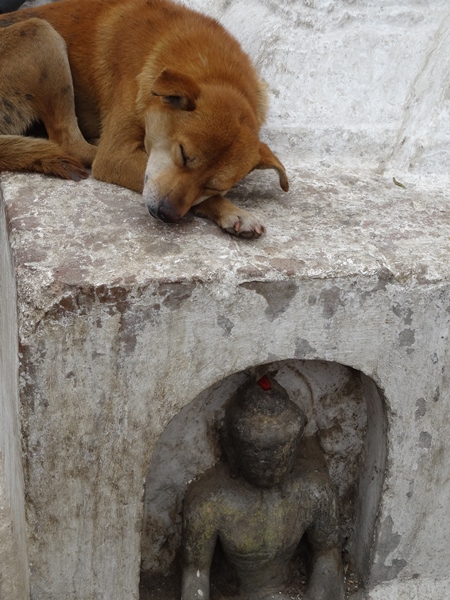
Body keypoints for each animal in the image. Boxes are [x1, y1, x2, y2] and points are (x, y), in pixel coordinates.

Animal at [0, 0, 288, 234]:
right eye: (183, 155)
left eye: (213, 186)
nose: (166, 214)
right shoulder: (116, 155)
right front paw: (232, 210)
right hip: (41, 34)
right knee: (70, 144)